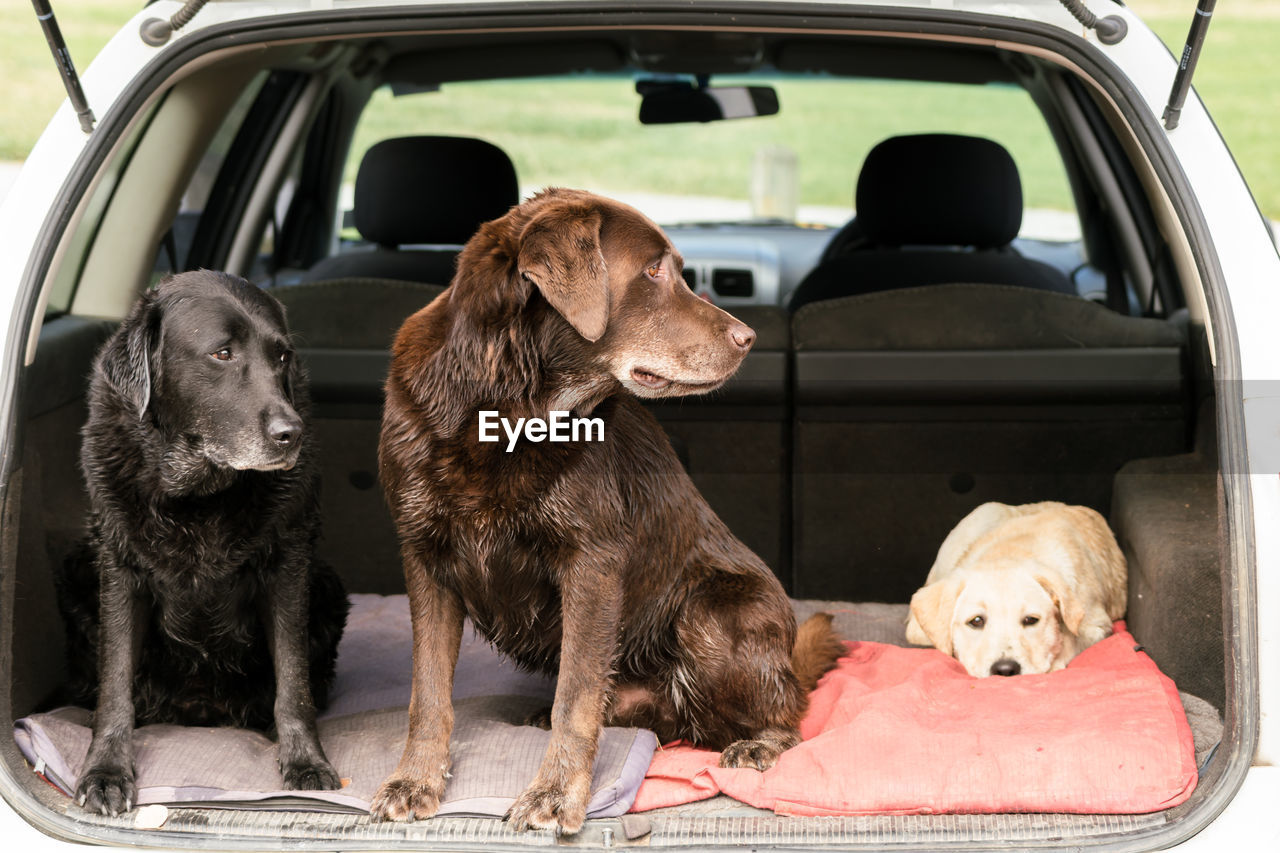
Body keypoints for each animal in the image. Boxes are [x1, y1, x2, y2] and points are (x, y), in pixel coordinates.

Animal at [55, 270, 348, 809]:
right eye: (222, 353)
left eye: (282, 357)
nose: (291, 433)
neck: (197, 490)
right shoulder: (120, 568)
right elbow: (115, 683)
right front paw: (105, 770)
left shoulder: (288, 564)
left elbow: (293, 681)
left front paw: (305, 760)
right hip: (75, 569)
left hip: (329, 585)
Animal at [906, 499, 1126, 676]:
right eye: (976, 621)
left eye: (1031, 620)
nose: (1005, 670)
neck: (1013, 551)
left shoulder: (1097, 626)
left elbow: (1070, 639)